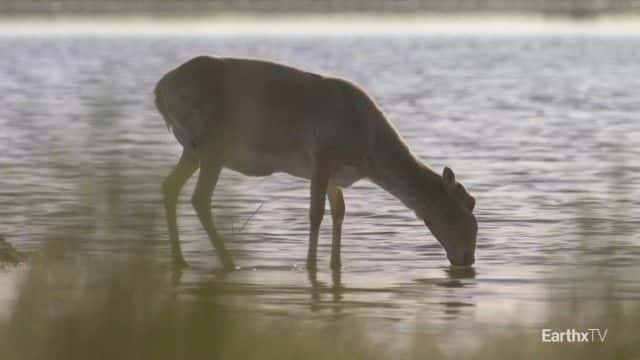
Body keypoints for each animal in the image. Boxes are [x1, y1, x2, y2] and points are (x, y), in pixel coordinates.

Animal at [154, 55, 476, 270]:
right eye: (461, 212)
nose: (467, 259)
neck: (368, 153)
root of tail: (160, 91)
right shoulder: (322, 155)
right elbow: (315, 213)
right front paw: (310, 264)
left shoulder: (335, 176)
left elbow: (339, 212)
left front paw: (335, 264)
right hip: (212, 146)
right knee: (199, 198)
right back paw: (229, 261)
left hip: (192, 149)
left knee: (169, 186)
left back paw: (180, 259)